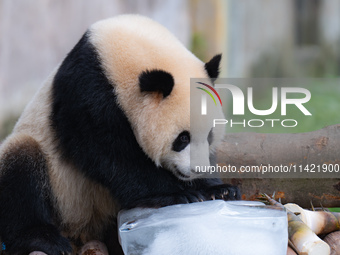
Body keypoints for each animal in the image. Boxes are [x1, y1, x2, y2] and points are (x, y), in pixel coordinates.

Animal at [0, 14, 239, 254]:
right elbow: (108, 153)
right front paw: (180, 194)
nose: (197, 170)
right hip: (57, 186)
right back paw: (44, 238)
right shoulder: (86, 90)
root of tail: (79, 232)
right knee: (20, 169)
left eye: (209, 136)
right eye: (182, 138)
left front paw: (219, 190)